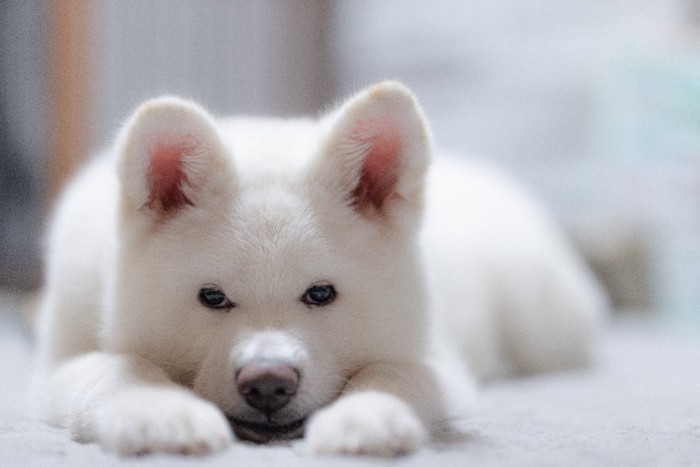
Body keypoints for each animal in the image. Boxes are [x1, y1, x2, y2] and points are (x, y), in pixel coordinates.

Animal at [30, 81, 604, 458]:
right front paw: (159, 410)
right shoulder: (59, 362)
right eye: (212, 298)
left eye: (321, 294)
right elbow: (115, 369)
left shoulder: (433, 358)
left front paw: (364, 417)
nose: (267, 384)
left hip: (545, 328)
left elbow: (390, 373)